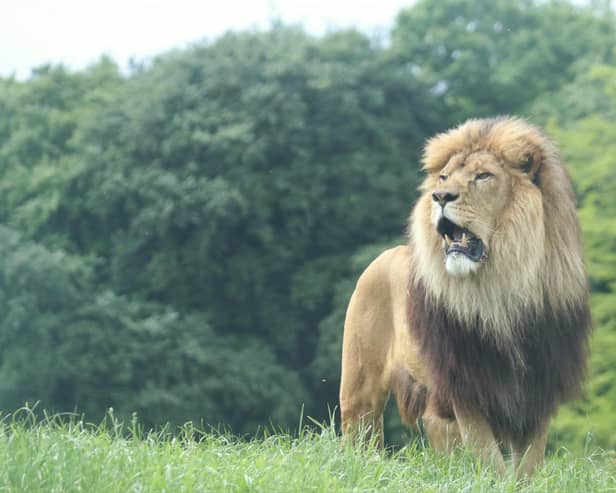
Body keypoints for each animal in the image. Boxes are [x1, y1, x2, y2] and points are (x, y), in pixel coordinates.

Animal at [340, 117, 588, 474]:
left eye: (483, 176)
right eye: (444, 177)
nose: (440, 196)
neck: (500, 291)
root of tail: (385, 254)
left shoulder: (536, 391)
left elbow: (527, 467)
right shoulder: (464, 392)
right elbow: (489, 463)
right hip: (360, 389)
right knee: (360, 434)